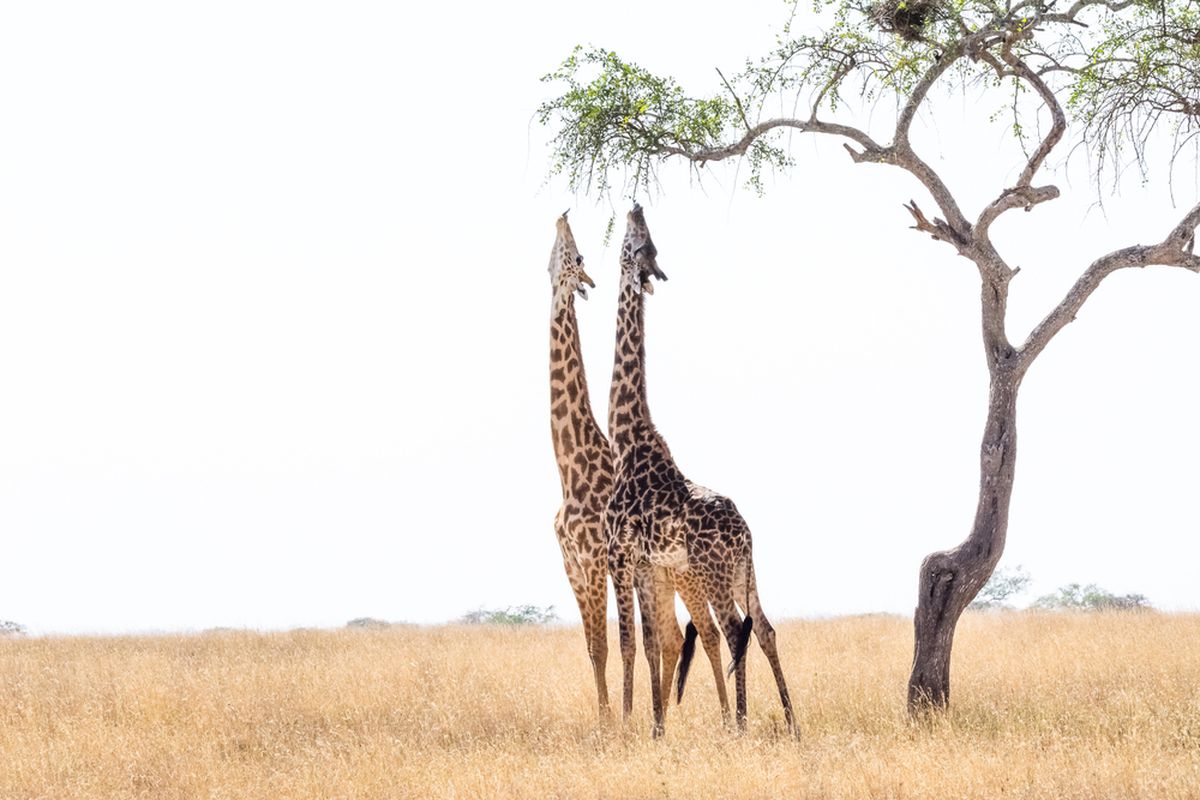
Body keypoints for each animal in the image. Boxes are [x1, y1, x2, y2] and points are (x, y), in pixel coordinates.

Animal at [604, 205, 792, 738]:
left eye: (643, 244)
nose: (635, 207)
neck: (627, 439)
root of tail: (744, 533)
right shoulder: (648, 565)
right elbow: (651, 643)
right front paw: (654, 727)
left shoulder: (619, 555)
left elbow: (631, 643)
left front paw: (630, 728)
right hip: (742, 573)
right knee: (764, 628)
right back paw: (792, 723)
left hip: (712, 573)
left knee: (732, 632)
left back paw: (743, 726)